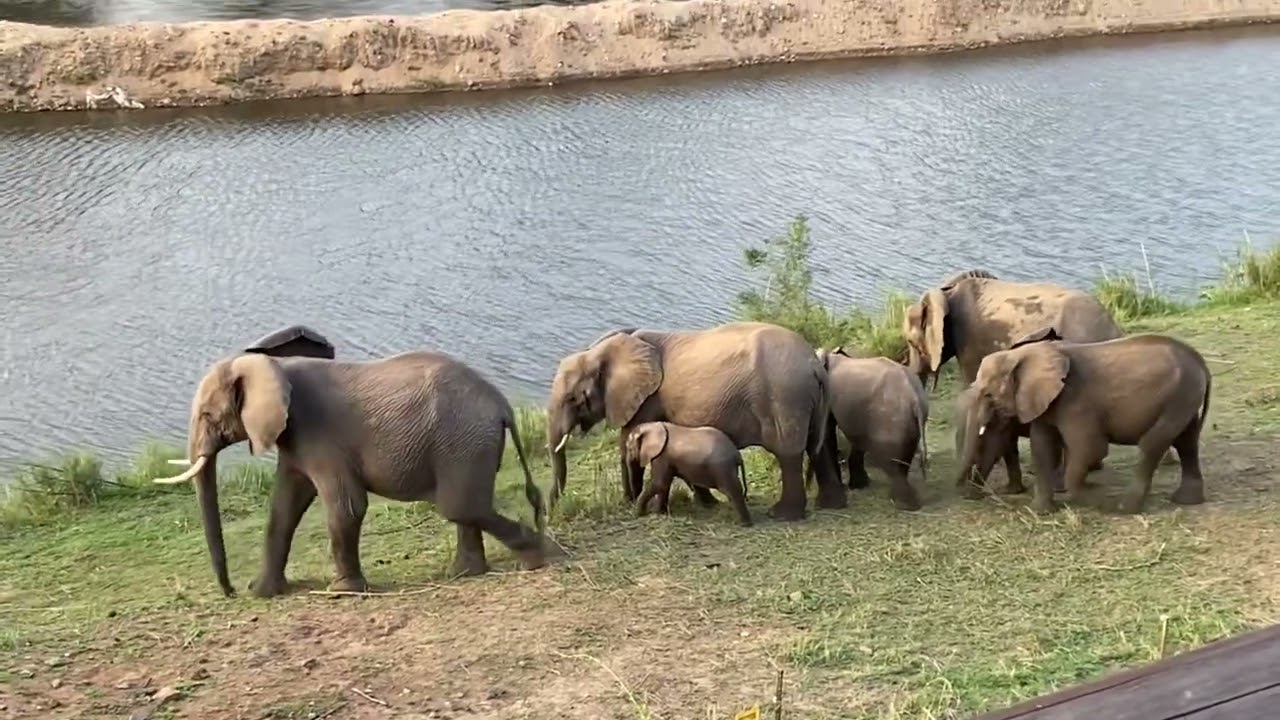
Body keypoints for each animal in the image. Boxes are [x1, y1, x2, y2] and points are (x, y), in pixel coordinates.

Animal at [151, 348, 550, 598]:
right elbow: (284, 508)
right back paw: (466, 574)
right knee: (465, 508)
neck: (271, 363)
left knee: (459, 506)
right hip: (465, 445)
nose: (231, 592)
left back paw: (536, 559)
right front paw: (262, 593)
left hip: (463, 441)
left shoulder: (319, 433)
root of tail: (502, 406)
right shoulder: (295, 439)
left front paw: (340, 591)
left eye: (207, 416)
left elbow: (346, 505)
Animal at [546, 321, 845, 522]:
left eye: (573, 398)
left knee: (789, 452)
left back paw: (782, 515)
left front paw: (631, 502)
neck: (601, 349)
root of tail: (814, 364)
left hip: (784, 397)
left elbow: (629, 443)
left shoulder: (646, 399)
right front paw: (707, 504)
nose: (552, 512)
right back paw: (830, 505)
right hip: (810, 398)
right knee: (816, 446)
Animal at [810, 347, 930, 510]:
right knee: (903, 457)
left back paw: (903, 504)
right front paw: (858, 486)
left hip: (891, 418)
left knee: (890, 459)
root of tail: (914, 398)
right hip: (908, 422)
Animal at [964, 328, 1211, 515]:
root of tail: (1199, 359)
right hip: (1184, 396)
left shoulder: (1075, 402)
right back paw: (1186, 500)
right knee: (1187, 441)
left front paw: (1090, 498)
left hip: (1180, 395)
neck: (1024, 354)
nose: (970, 495)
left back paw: (1124, 507)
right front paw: (1040, 512)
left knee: (1153, 443)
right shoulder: (1045, 402)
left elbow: (1090, 449)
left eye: (987, 395)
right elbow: (1042, 448)